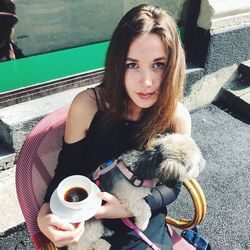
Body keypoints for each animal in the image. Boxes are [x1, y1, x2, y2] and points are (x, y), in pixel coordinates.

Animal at [70, 134, 205, 249]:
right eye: (192, 166)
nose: (203, 163)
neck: (142, 167)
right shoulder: (129, 198)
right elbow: (146, 208)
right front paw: (142, 224)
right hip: (91, 227)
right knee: (79, 246)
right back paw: (102, 244)